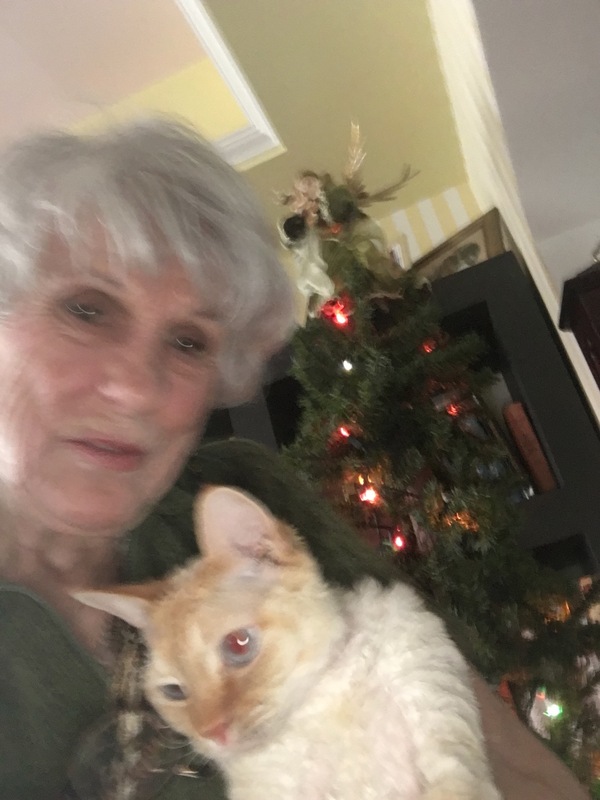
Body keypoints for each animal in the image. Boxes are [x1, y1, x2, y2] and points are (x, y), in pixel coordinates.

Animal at [76, 485, 502, 800]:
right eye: (174, 692)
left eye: (239, 644)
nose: (212, 734)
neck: (318, 703)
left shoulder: (437, 714)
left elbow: (455, 782)